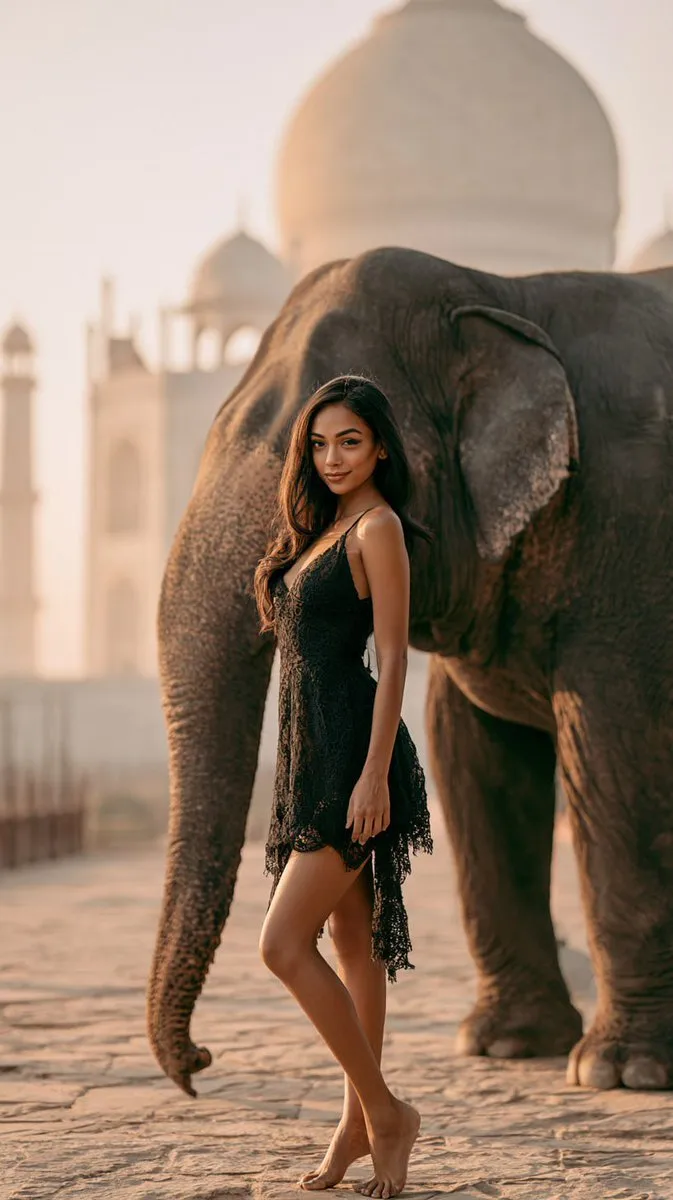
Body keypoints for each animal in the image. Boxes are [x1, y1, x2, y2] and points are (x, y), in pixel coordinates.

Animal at [147, 246, 673, 1098]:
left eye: (321, 444)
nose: (199, 1065)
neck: (498, 289)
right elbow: (470, 753)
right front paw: (503, 1045)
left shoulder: (632, 530)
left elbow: (614, 743)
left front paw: (620, 1073)